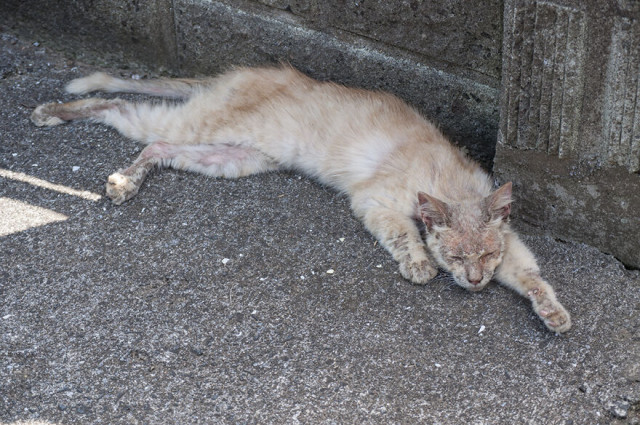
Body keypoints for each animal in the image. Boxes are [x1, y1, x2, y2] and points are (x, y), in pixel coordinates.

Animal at [28, 65, 568, 332]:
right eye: (455, 256)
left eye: (486, 254)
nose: (475, 282)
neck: (451, 183)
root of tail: (249, 72)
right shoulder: (374, 203)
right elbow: (403, 235)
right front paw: (417, 263)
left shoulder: (512, 248)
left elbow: (532, 277)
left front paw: (552, 312)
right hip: (204, 127)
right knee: (121, 105)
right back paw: (54, 112)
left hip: (233, 157)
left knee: (155, 144)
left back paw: (126, 181)